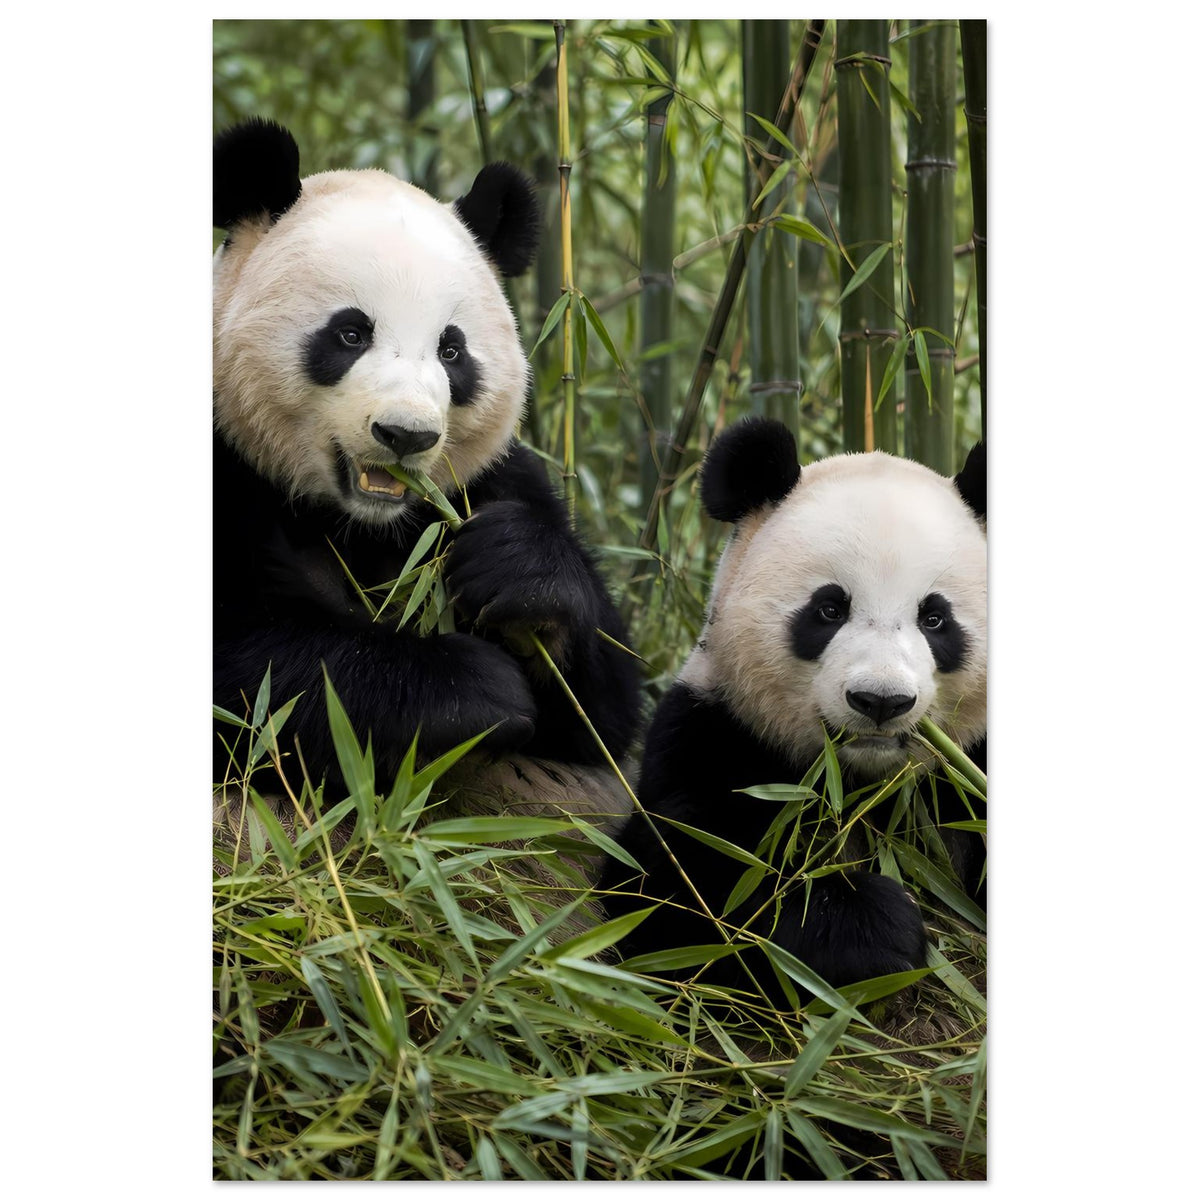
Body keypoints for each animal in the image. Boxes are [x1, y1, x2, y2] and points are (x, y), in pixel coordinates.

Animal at [212, 118, 641, 854]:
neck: (358, 522)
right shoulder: (224, 464)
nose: (405, 434)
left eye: (452, 349)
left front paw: (520, 576)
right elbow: (255, 681)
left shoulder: (489, 481)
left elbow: (604, 717)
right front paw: (477, 688)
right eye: (350, 333)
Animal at [601, 416, 986, 1000]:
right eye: (829, 609)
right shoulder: (716, 734)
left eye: (935, 619)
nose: (880, 701)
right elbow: (681, 892)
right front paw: (873, 929)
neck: (859, 786)